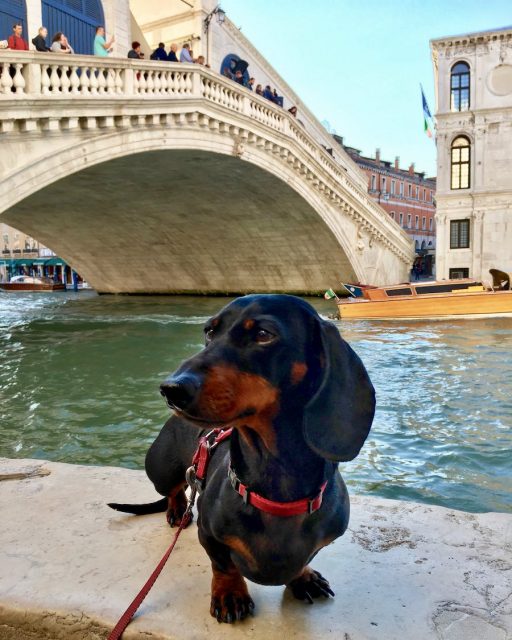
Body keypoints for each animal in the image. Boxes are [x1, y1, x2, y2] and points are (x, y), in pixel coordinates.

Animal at [110, 296, 374, 624]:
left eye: (263, 334)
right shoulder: (209, 534)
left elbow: (303, 560)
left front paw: (303, 577)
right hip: (161, 469)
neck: (277, 489)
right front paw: (230, 595)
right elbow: (223, 565)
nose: (170, 389)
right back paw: (177, 509)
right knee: (174, 489)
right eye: (209, 332)